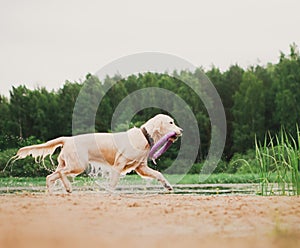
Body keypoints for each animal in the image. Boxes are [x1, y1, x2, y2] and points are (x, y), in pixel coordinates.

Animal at [12, 114, 183, 194]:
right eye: (170, 122)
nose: (181, 130)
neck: (144, 137)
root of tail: (67, 139)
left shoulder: (141, 167)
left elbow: (159, 174)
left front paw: (168, 186)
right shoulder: (118, 165)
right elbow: (113, 183)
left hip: (69, 164)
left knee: (51, 176)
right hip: (78, 165)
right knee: (60, 173)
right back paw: (68, 188)